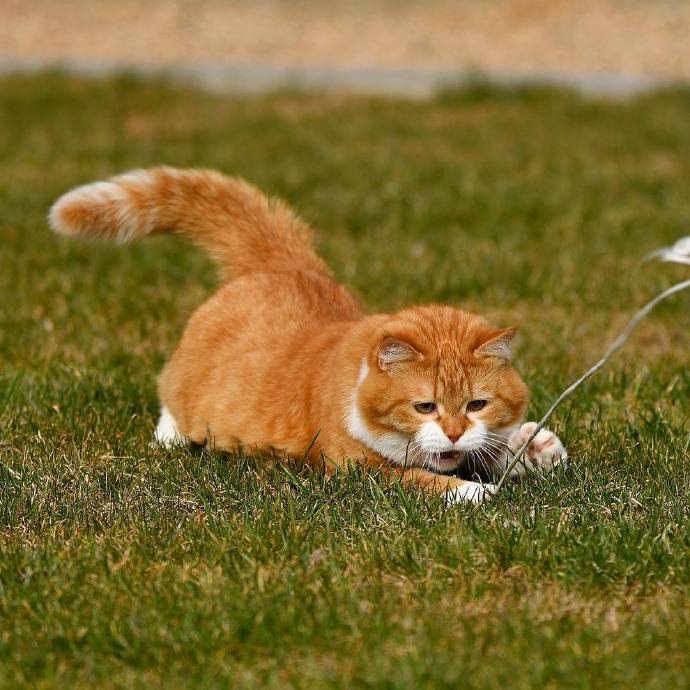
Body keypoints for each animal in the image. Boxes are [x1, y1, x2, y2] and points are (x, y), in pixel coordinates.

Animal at [49, 165, 564, 500]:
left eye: (477, 404)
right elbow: (426, 480)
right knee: (170, 398)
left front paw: (534, 449)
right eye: (424, 407)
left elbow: (492, 450)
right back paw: (171, 437)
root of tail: (286, 264)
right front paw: (481, 496)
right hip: (188, 393)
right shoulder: (356, 470)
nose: (454, 434)